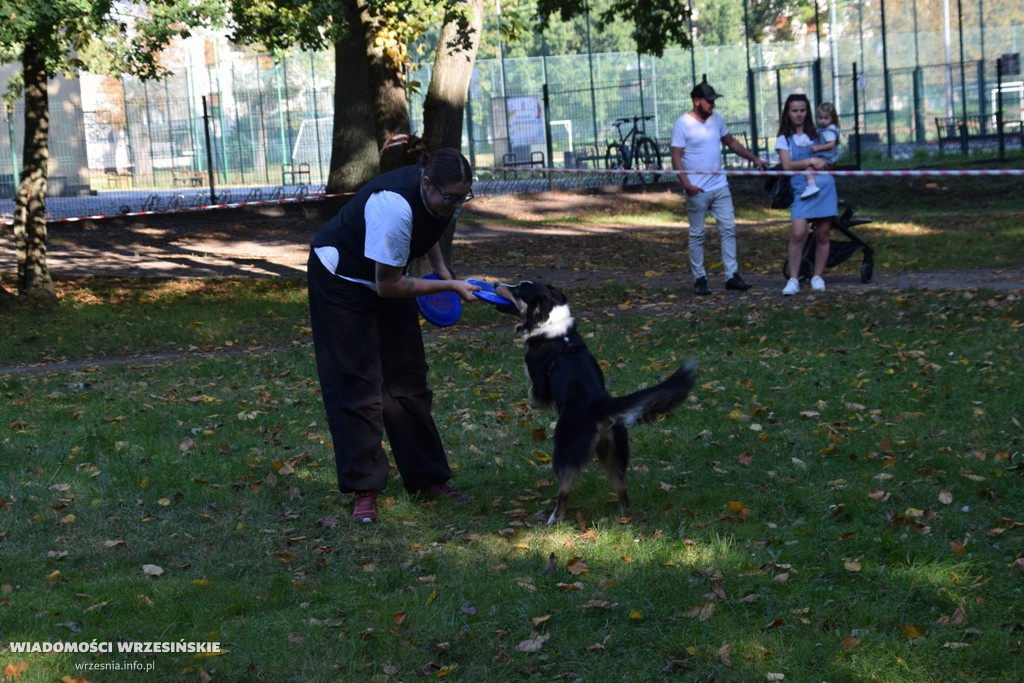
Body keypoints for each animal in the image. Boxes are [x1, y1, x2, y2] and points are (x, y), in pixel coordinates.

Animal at [493, 280, 700, 528]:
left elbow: (533, 394)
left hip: (564, 450)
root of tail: (600, 403)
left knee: (565, 490)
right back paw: (624, 518)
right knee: (622, 491)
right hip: (615, 454)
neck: (555, 328)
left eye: (518, 289)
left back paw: (553, 519)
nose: (495, 283)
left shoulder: (539, 385)